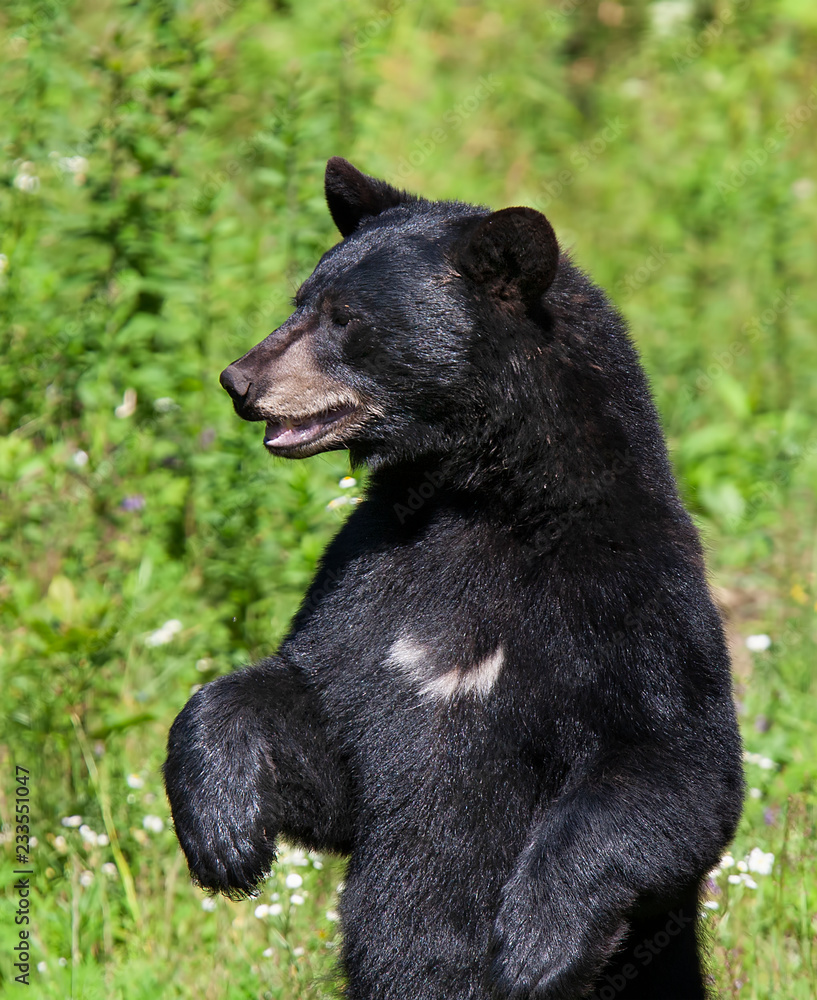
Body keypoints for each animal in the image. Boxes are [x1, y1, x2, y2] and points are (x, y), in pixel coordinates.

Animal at [164, 157, 744, 1000]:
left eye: (345, 318)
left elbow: (677, 770)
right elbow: (319, 726)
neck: (483, 502)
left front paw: (536, 945)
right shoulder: (373, 580)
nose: (238, 379)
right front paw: (225, 833)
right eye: (301, 300)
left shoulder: (632, 597)